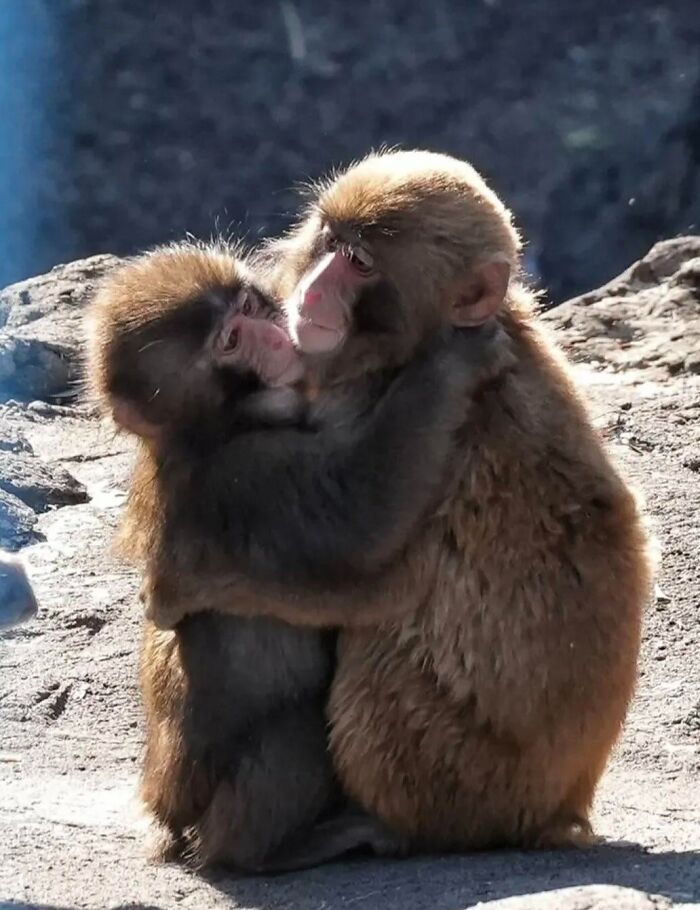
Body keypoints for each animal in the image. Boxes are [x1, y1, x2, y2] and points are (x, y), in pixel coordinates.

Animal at [88, 240, 501, 871]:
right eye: (230, 341)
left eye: (248, 307)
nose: (277, 334)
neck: (217, 427)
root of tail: (171, 815)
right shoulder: (248, 480)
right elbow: (358, 514)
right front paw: (449, 364)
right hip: (228, 802)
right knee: (298, 733)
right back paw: (281, 849)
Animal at [144, 150, 653, 862]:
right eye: (330, 242)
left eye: (360, 263)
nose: (314, 288)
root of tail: (554, 809)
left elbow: (345, 567)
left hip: (459, 782)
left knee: (373, 658)